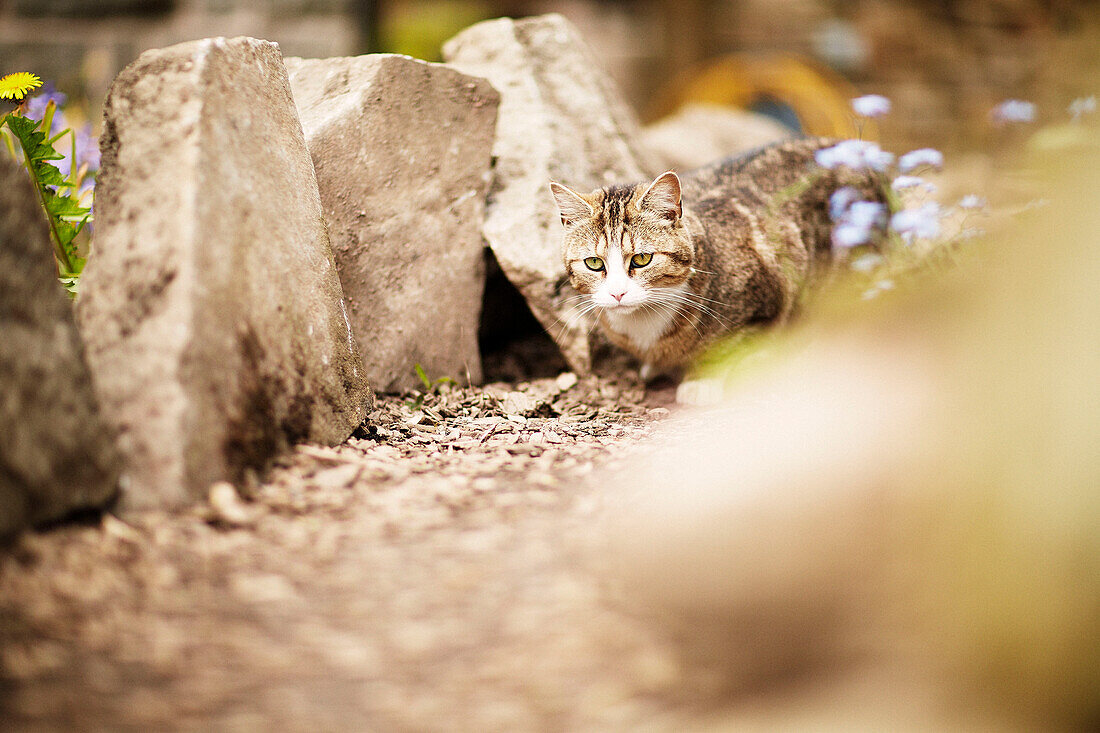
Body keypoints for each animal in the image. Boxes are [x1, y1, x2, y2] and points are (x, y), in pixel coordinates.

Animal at [550, 137, 884, 378]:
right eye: (594, 263)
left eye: (642, 259)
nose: (617, 293)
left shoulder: (769, 302)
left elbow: (732, 347)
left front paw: (700, 382)